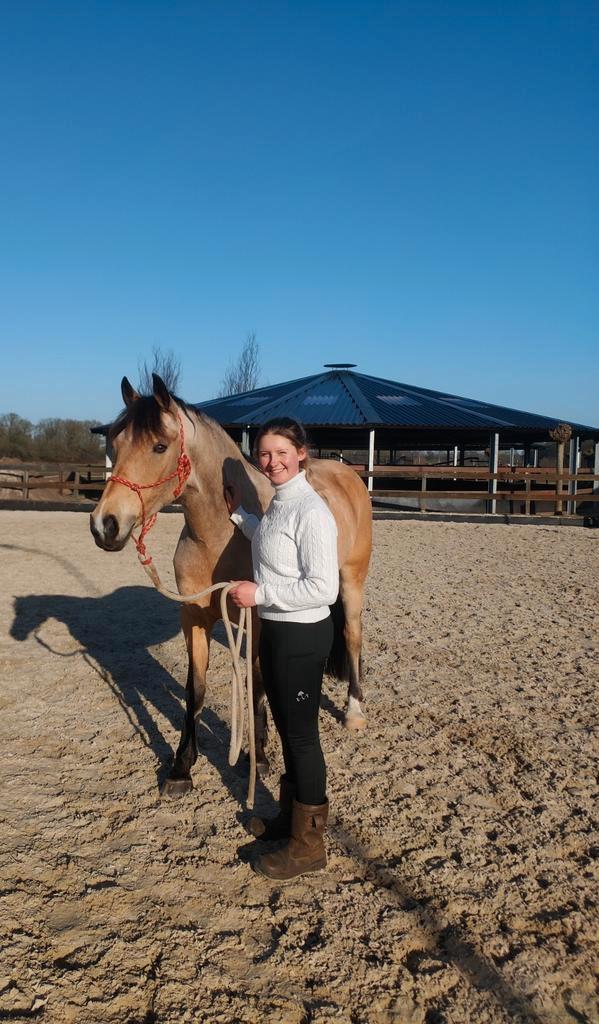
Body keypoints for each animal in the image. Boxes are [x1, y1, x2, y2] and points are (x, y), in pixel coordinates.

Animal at [90, 373, 372, 798]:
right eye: (114, 444)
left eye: (159, 446)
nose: (104, 525)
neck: (218, 535)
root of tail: (347, 473)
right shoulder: (194, 617)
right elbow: (196, 690)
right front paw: (181, 768)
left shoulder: (258, 616)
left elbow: (255, 683)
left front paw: (260, 756)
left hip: (352, 580)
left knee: (352, 636)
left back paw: (353, 712)